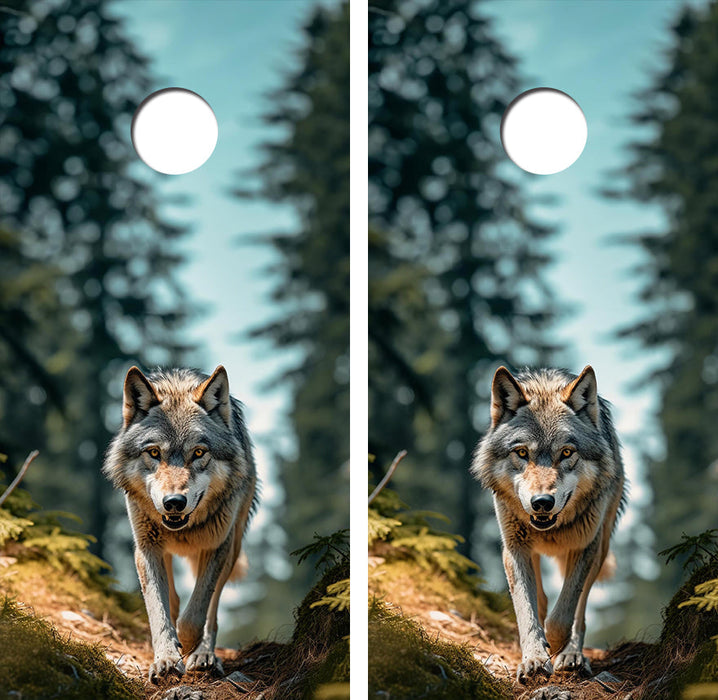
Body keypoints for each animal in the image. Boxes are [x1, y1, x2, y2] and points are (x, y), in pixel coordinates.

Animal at [103, 365, 257, 682]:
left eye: (198, 452)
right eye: (153, 453)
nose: (174, 502)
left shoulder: (216, 547)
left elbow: (195, 616)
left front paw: (187, 648)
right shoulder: (146, 549)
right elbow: (159, 610)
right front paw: (166, 658)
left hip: (232, 548)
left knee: (212, 610)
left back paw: (204, 654)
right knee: (173, 600)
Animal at [472, 365, 625, 682]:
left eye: (566, 452)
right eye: (521, 453)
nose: (542, 502)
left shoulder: (584, 547)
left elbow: (563, 616)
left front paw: (555, 649)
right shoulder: (514, 549)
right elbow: (527, 609)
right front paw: (534, 658)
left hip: (600, 548)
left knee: (580, 610)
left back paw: (572, 654)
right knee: (541, 600)